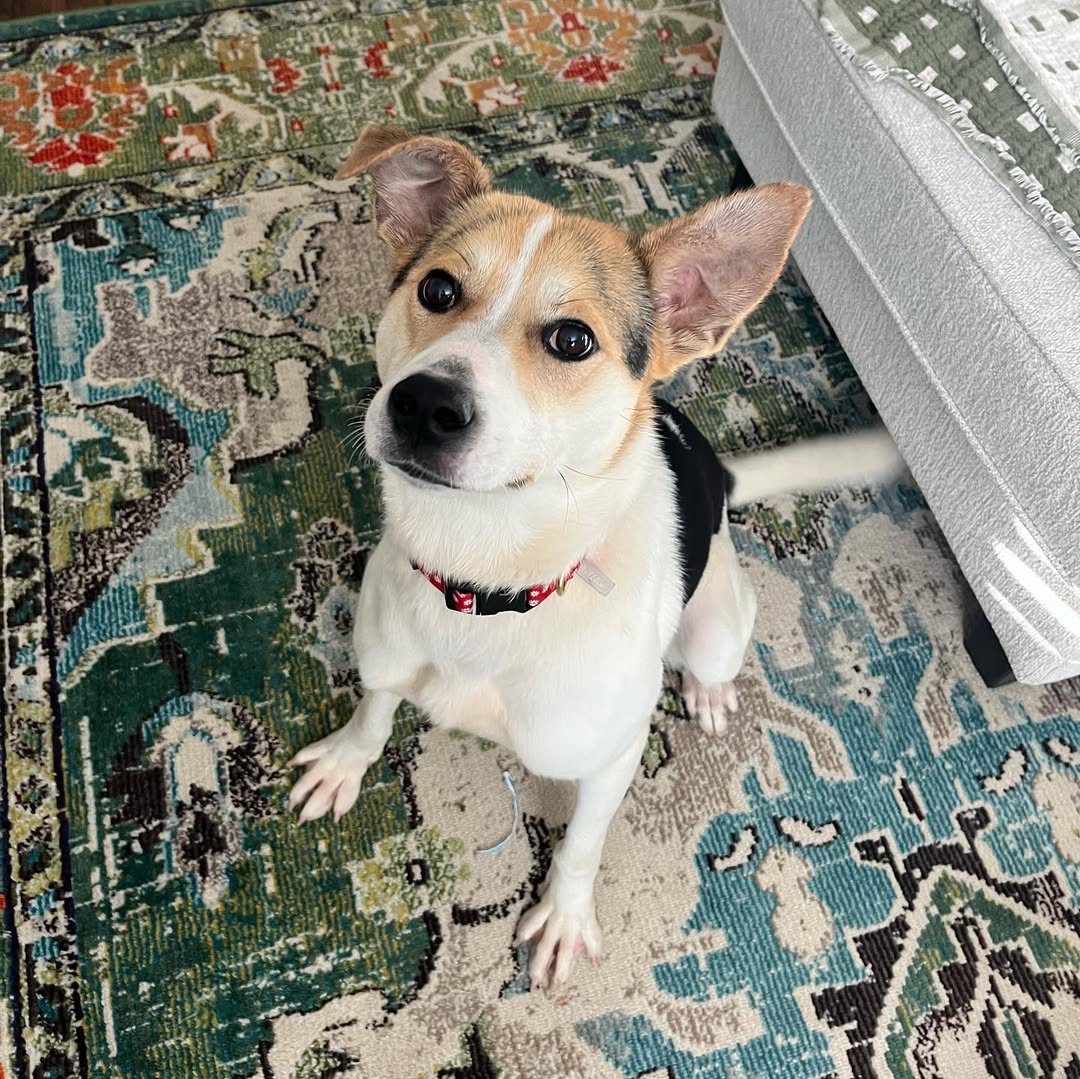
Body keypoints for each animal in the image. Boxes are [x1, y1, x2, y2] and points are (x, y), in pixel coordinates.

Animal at [289, 122, 902, 989]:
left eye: (571, 339)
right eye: (437, 290)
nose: (423, 404)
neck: (487, 577)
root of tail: (719, 475)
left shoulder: (611, 757)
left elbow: (581, 841)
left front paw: (564, 915)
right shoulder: (384, 653)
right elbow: (376, 706)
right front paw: (348, 759)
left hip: (718, 622)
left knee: (711, 657)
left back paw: (708, 694)